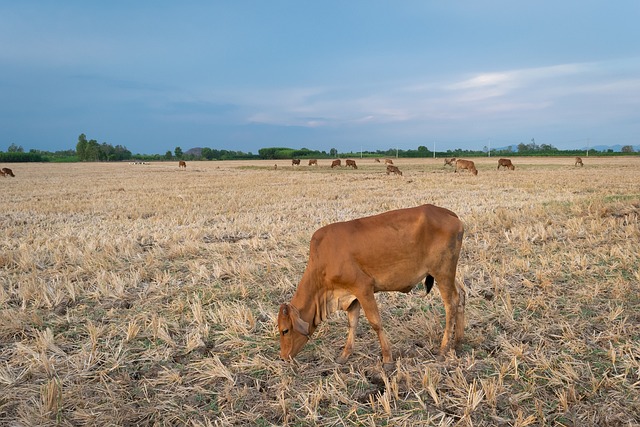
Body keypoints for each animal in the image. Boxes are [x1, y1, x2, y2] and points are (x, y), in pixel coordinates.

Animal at [278, 205, 464, 368]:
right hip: (448, 273)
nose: (283, 357)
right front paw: (344, 356)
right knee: (461, 295)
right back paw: (458, 343)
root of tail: (449, 214)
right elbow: (352, 324)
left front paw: (387, 359)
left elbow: (376, 323)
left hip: (442, 272)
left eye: (285, 330)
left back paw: (443, 349)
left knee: (451, 304)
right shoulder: (352, 296)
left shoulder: (363, 288)